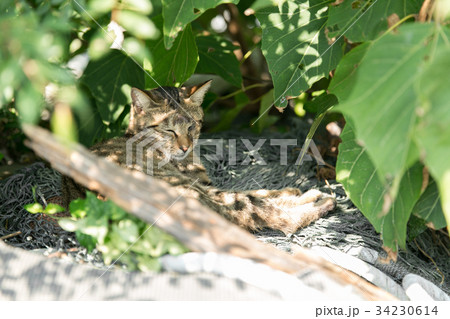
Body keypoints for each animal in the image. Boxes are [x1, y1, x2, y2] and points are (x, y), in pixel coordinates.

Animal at [60, 81, 334, 234]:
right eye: (168, 130)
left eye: (191, 126)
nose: (185, 147)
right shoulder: (207, 189)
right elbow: (258, 195)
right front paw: (298, 193)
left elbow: (261, 192)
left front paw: (293, 191)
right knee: (267, 216)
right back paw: (319, 201)